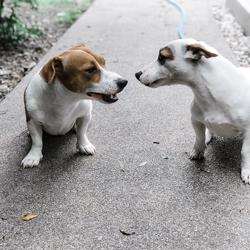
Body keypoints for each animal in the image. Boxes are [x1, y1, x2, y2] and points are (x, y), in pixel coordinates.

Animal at [136, 38, 250, 184]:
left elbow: (245, 152)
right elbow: (199, 138)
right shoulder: (195, 120)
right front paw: (198, 150)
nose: (137, 74)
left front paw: (246, 170)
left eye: (161, 57)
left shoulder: (248, 132)